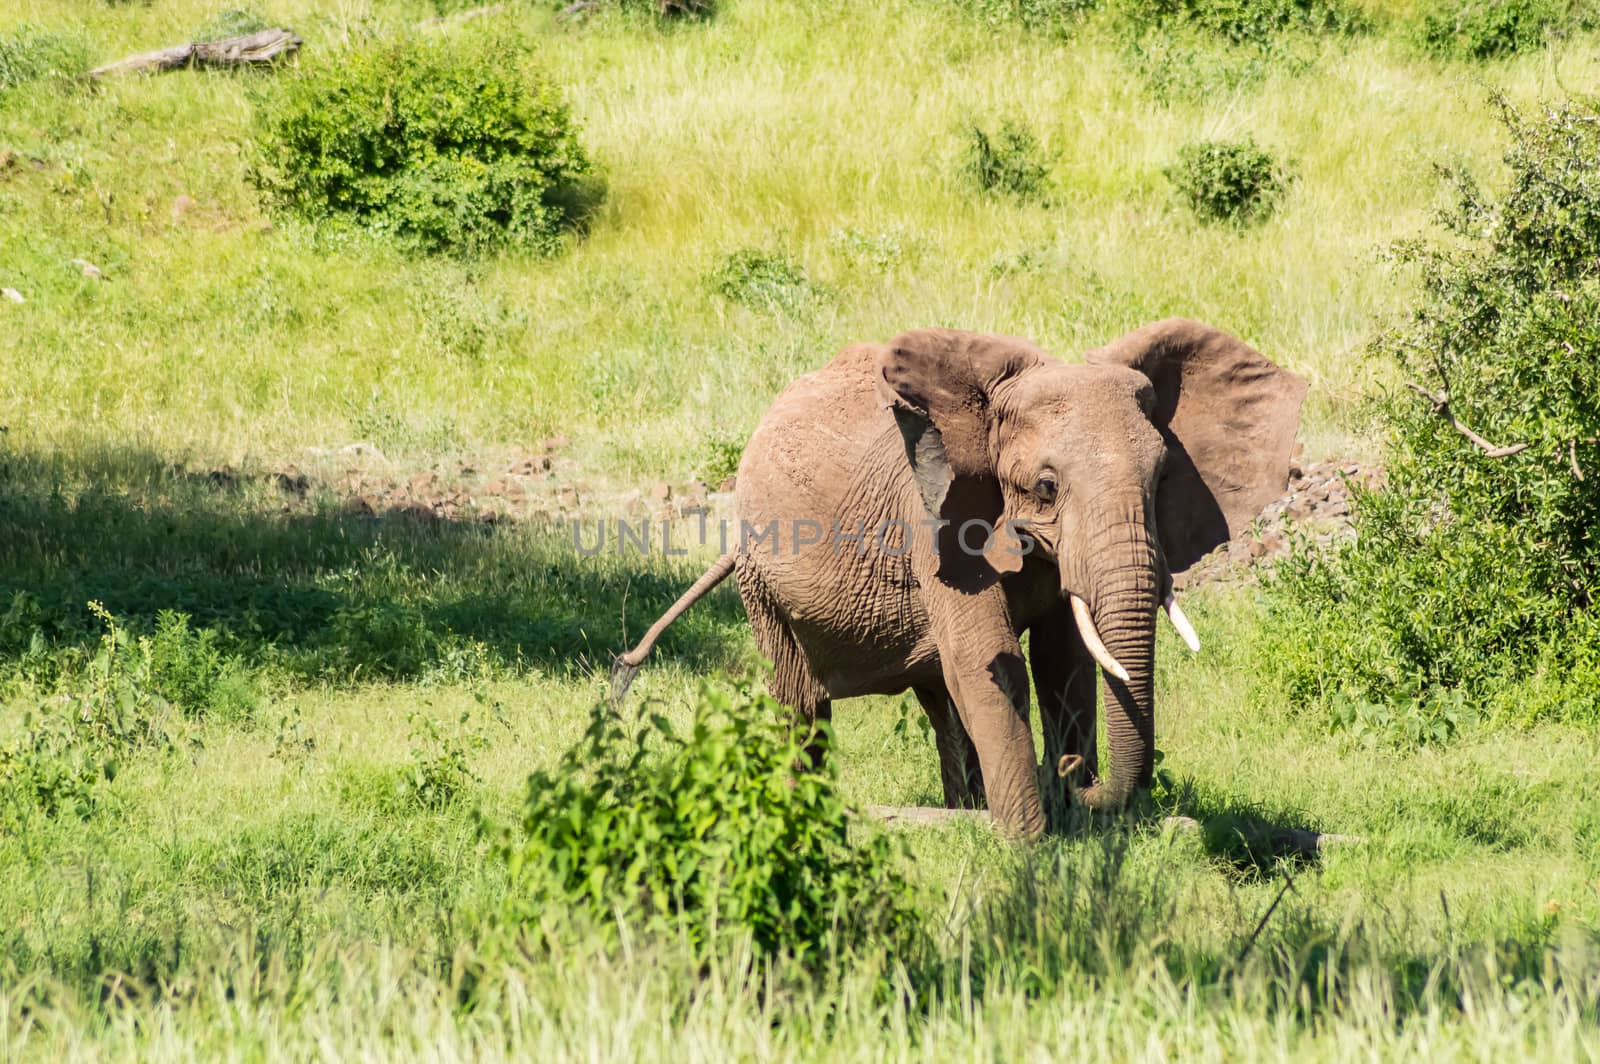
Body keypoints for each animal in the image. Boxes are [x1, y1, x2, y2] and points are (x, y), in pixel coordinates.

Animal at [611, 320, 1299, 832]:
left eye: (1160, 481)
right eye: (1045, 487)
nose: (1073, 775)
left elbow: (1061, 664)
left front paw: (1073, 825)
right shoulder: (932, 517)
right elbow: (991, 659)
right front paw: (1030, 845)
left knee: (939, 698)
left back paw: (963, 811)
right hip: (763, 581)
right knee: (803, 702)